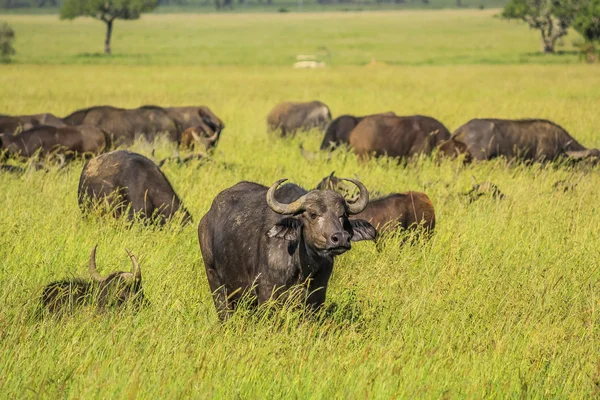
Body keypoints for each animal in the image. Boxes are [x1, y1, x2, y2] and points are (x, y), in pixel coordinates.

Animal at [197, 178, 376, 318]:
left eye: (343, 216)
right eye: (312, 214)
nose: (340, 238)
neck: (303, 268)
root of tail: (206, 219)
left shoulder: (316, 297)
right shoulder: (267, 294)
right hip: (215, 281)